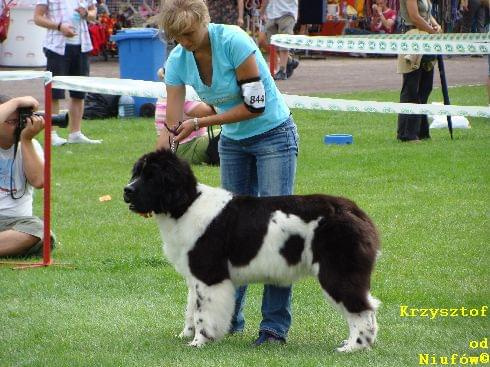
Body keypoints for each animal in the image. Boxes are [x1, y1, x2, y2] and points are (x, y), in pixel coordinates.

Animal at [123, 150, 382, 354]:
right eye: (137, 173)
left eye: (152, 176)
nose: (126, 190)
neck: (185, 206)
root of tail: (352, 210)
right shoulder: (194, 275)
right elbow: (190, 307)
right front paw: (186, 334)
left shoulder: (209, 276)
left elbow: (202, 312)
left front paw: (199, 341)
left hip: (337, 272)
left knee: (361, 309)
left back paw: (354, 347)